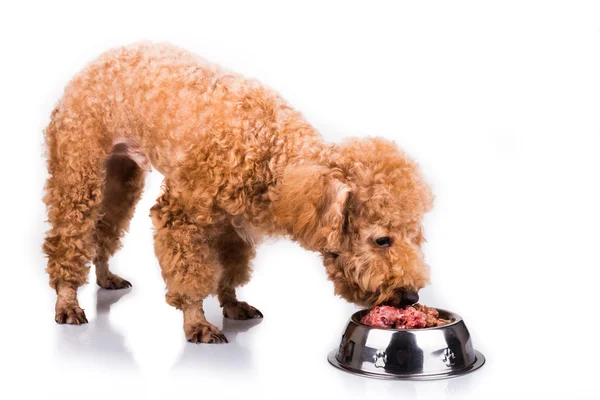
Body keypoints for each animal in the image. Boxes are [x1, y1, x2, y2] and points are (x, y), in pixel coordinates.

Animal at [44, 43, 434, 344]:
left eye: (415, 237)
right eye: (382, 240)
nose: (410, 295)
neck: (269, 148)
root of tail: (96, 62)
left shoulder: (233, 224)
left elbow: (230, 268)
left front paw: (232, 305)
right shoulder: (179, 215)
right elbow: (190, 273)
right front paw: (197, 323)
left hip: (123, 176)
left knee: (104, 229)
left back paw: (105, 275)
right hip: (79, 170)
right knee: (69, 236)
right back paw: (67, 300)